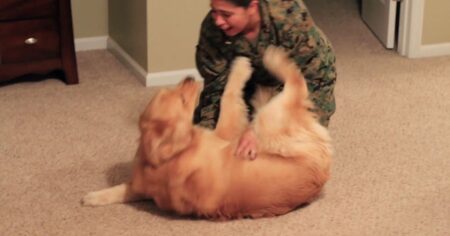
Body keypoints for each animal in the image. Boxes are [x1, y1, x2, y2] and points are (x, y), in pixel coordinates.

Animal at [82, 46, 332, 219]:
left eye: (171, 91)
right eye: (182, 100)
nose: (190, 77)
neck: (168, 155)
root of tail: (322, 173)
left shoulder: (142, 186)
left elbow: (120, 189)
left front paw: (93, 197)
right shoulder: (224, 132)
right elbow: (228, 96)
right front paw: (240, 67)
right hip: (271, 121)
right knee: (295, 82)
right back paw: (272, 60)